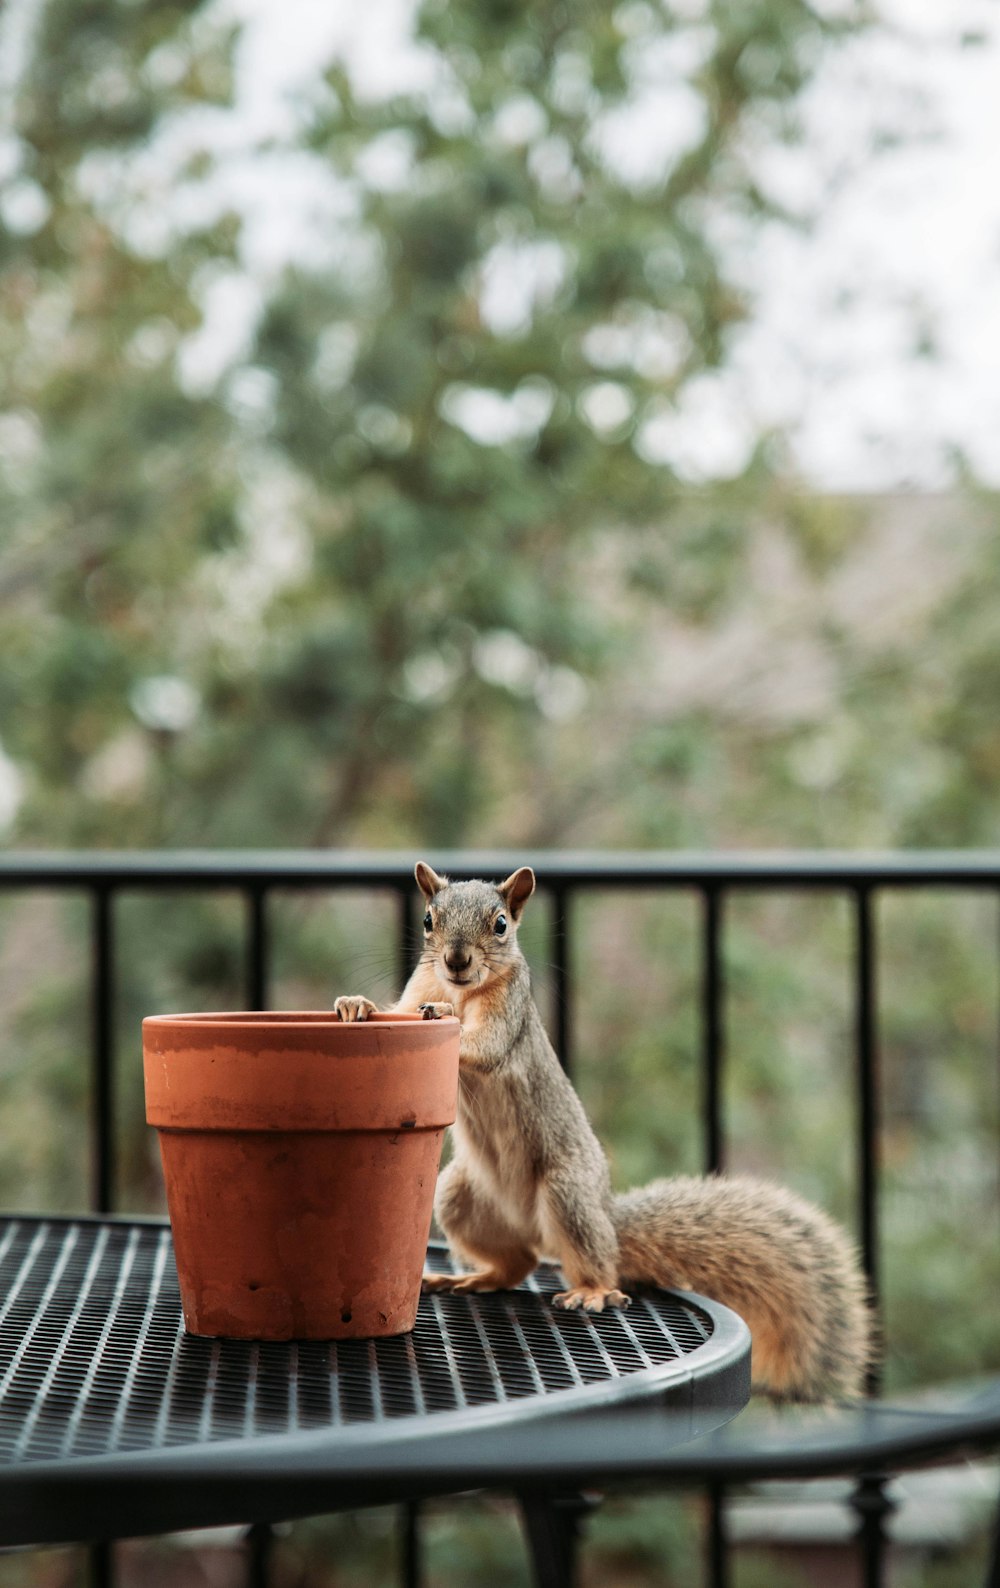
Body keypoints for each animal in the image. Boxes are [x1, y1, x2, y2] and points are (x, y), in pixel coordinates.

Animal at [333, 863, 876, 1397]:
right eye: (429, 920)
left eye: (501, 924)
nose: (456, 960)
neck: (460, 989)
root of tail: (602, 1217)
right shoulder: (422, 986)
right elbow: (400, 1013)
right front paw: (357, 1005)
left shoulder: (510, 1011)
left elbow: (483, 1044)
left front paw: (444, 1016)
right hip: (460, 1197)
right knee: (519, 1263)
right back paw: (476, 1278)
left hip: (567, 1193)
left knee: (596, 1263)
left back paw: (591, 1291)